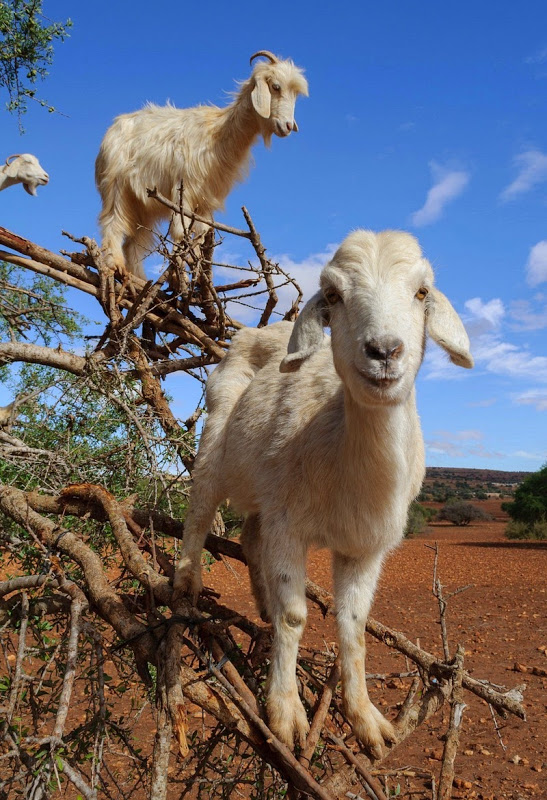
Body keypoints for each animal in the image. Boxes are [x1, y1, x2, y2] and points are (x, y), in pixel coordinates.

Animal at [94, 50, 308, 282]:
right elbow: (180, 231)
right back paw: (115, 265)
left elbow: (200, 233)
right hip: (116, 186)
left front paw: (196, 268)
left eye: (295, 94)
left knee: (135, 241)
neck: (216, 134)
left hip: (144, 205)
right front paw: (180, 272)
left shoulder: (204, 201)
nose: (287, 126)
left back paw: (140, 279)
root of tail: (112, 129)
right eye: (275, 86)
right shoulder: (183, 191)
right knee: (113, 223)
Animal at [173, 230, 474, 756]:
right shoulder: (289, 526)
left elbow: (353, 629)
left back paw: (261, 601)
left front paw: (366, 719)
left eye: (422, 293)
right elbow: (295, 617)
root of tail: (262, 331)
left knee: (251, 534)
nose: (384, 350)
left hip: (267, 488)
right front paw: (285, 712)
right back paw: (188, 577)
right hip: (217, 427)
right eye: (333, 295)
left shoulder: (365, 547)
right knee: (201, 502)